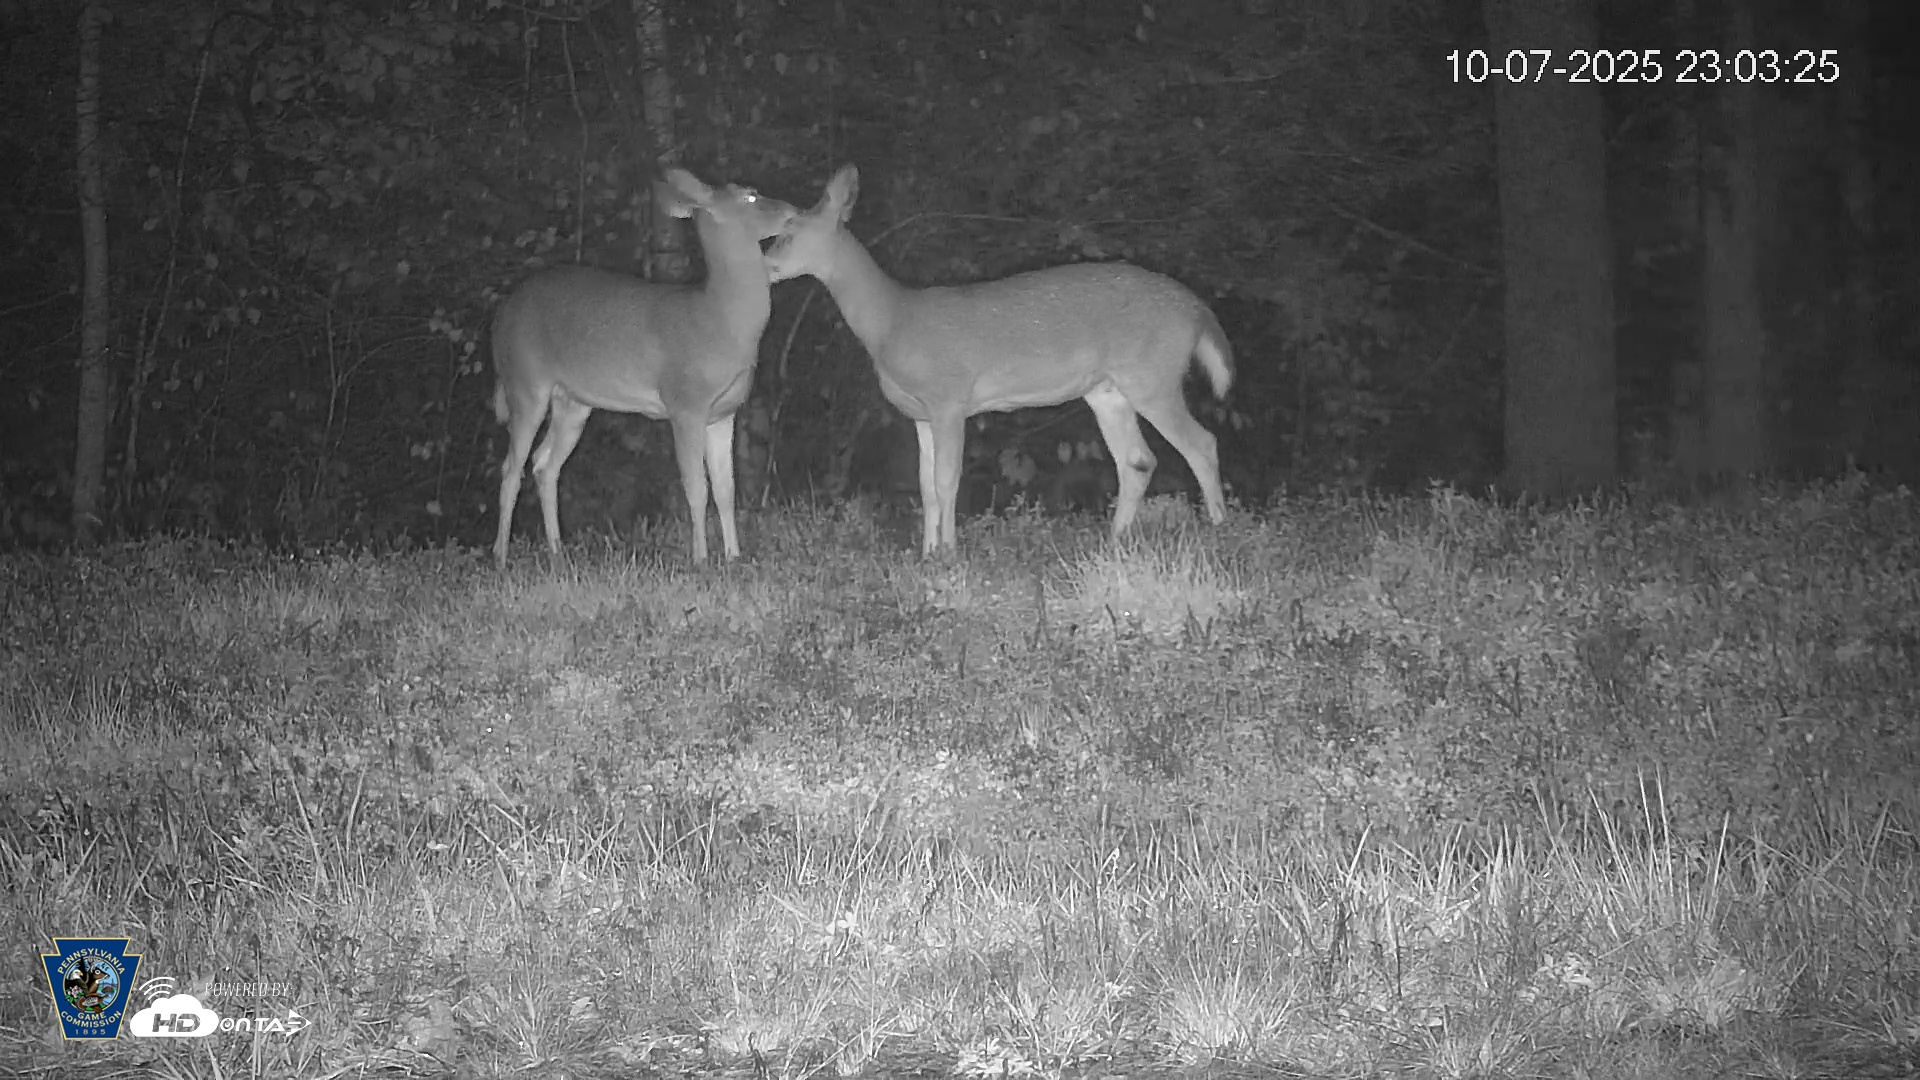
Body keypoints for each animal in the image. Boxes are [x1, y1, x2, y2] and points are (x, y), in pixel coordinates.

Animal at [490, 168, 797, 568]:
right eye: (749, 196)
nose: (792, 210)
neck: (721, 322)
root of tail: (498, 320)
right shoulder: (684, 403)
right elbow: (696, 487)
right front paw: (700, 560)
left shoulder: (723, 413)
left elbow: (726, 489)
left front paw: (733, 556)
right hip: (525, 380)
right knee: (511, 468)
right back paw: (500, 557)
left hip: (573, 401)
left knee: (544, 464)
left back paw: (557, 552)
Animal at [763, 165, 1233, 555]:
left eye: (789, 229)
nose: (765, 262)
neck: (893, 320)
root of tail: (1198, 311)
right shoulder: (920, 413)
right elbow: (925, 486)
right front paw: (926, 555)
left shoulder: (949, 397)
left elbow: (946, 480)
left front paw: (949, 553)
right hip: (1108, 389)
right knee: (1138, 460)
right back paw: (1115, 541)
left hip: (1153, 375)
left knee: (1201, 443)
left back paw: (1219, 531)